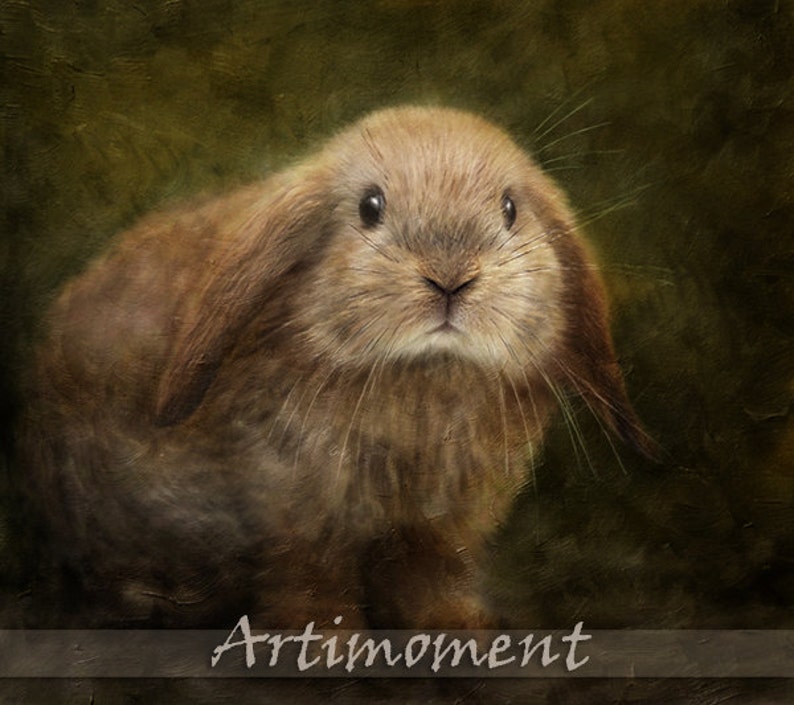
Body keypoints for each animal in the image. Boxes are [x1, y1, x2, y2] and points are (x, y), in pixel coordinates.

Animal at [19, 105, 655, 629]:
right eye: (369, 207)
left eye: (509, 208)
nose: (450, 277)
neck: (420, 380)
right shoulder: (295, 508)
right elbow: (311, 574)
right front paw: (326, 644)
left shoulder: (443, 520)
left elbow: (435, 573)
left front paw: (461, 630)